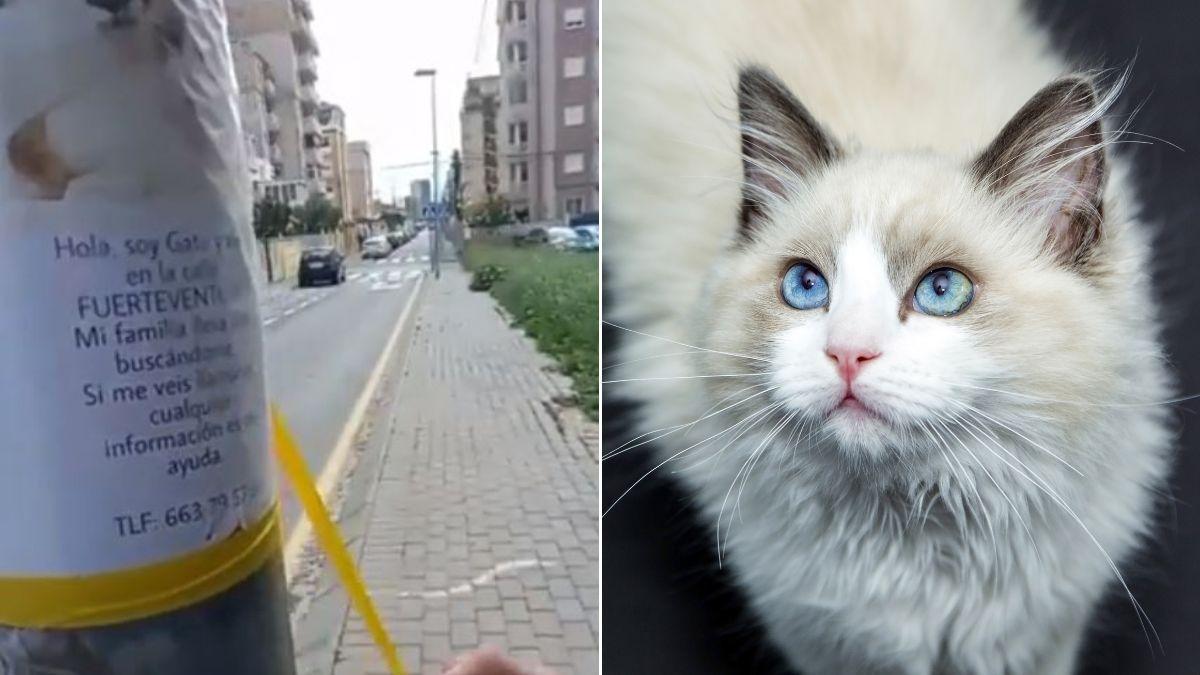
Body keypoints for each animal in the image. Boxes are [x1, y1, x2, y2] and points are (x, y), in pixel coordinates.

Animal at [604, 1, 1166, 672]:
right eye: (805, 286)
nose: (848, 353)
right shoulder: (824, 644)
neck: (917, 535)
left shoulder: (1039, 639)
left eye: (942, 290)